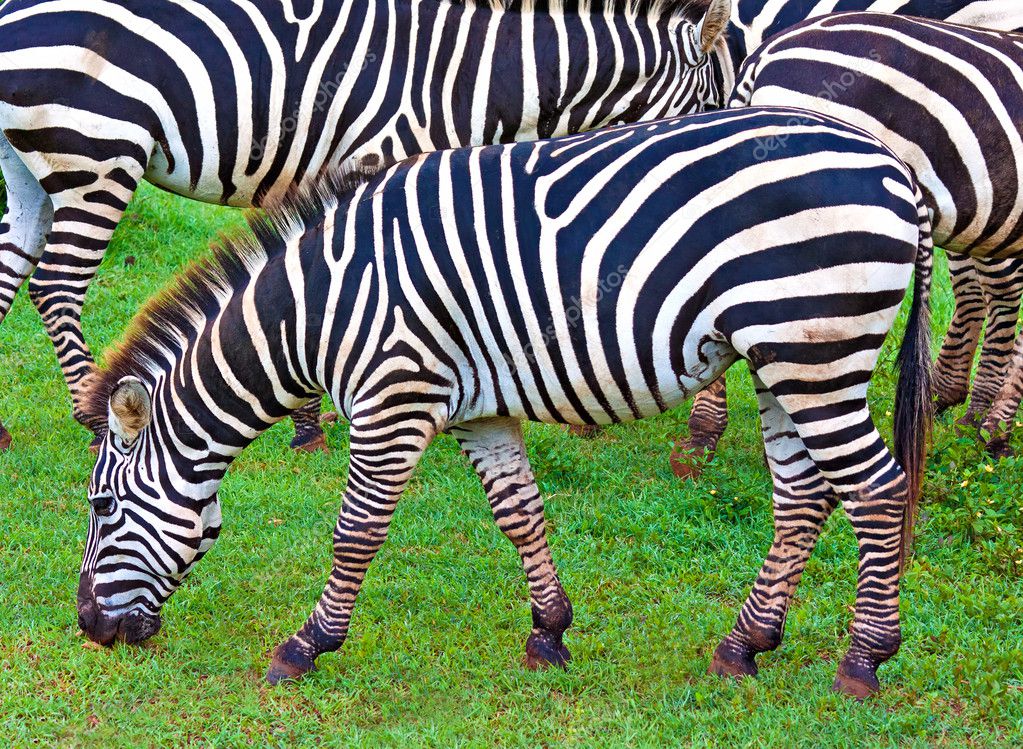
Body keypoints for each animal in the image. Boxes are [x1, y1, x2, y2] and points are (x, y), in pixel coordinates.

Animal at [0, 0, 732, 451]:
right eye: (709, 108)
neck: (487, 79)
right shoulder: (391, 161)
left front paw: (305, 424)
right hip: (98, 151)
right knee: (57, 285)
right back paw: (92, 420)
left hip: (32, 166)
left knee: (11, 270)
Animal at [77, 107, 934, 698]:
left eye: (102, 507)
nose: (89, 629)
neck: (316, 312)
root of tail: (892, 165)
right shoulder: (474, 408)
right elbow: (519, 512)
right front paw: (548, 634)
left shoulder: (392, 399)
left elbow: (356, 533)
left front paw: (305, 645)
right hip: (778, 354)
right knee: (803, 496)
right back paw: (743, 646)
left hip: (813, 345)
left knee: (875, 489)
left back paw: (863, 658)